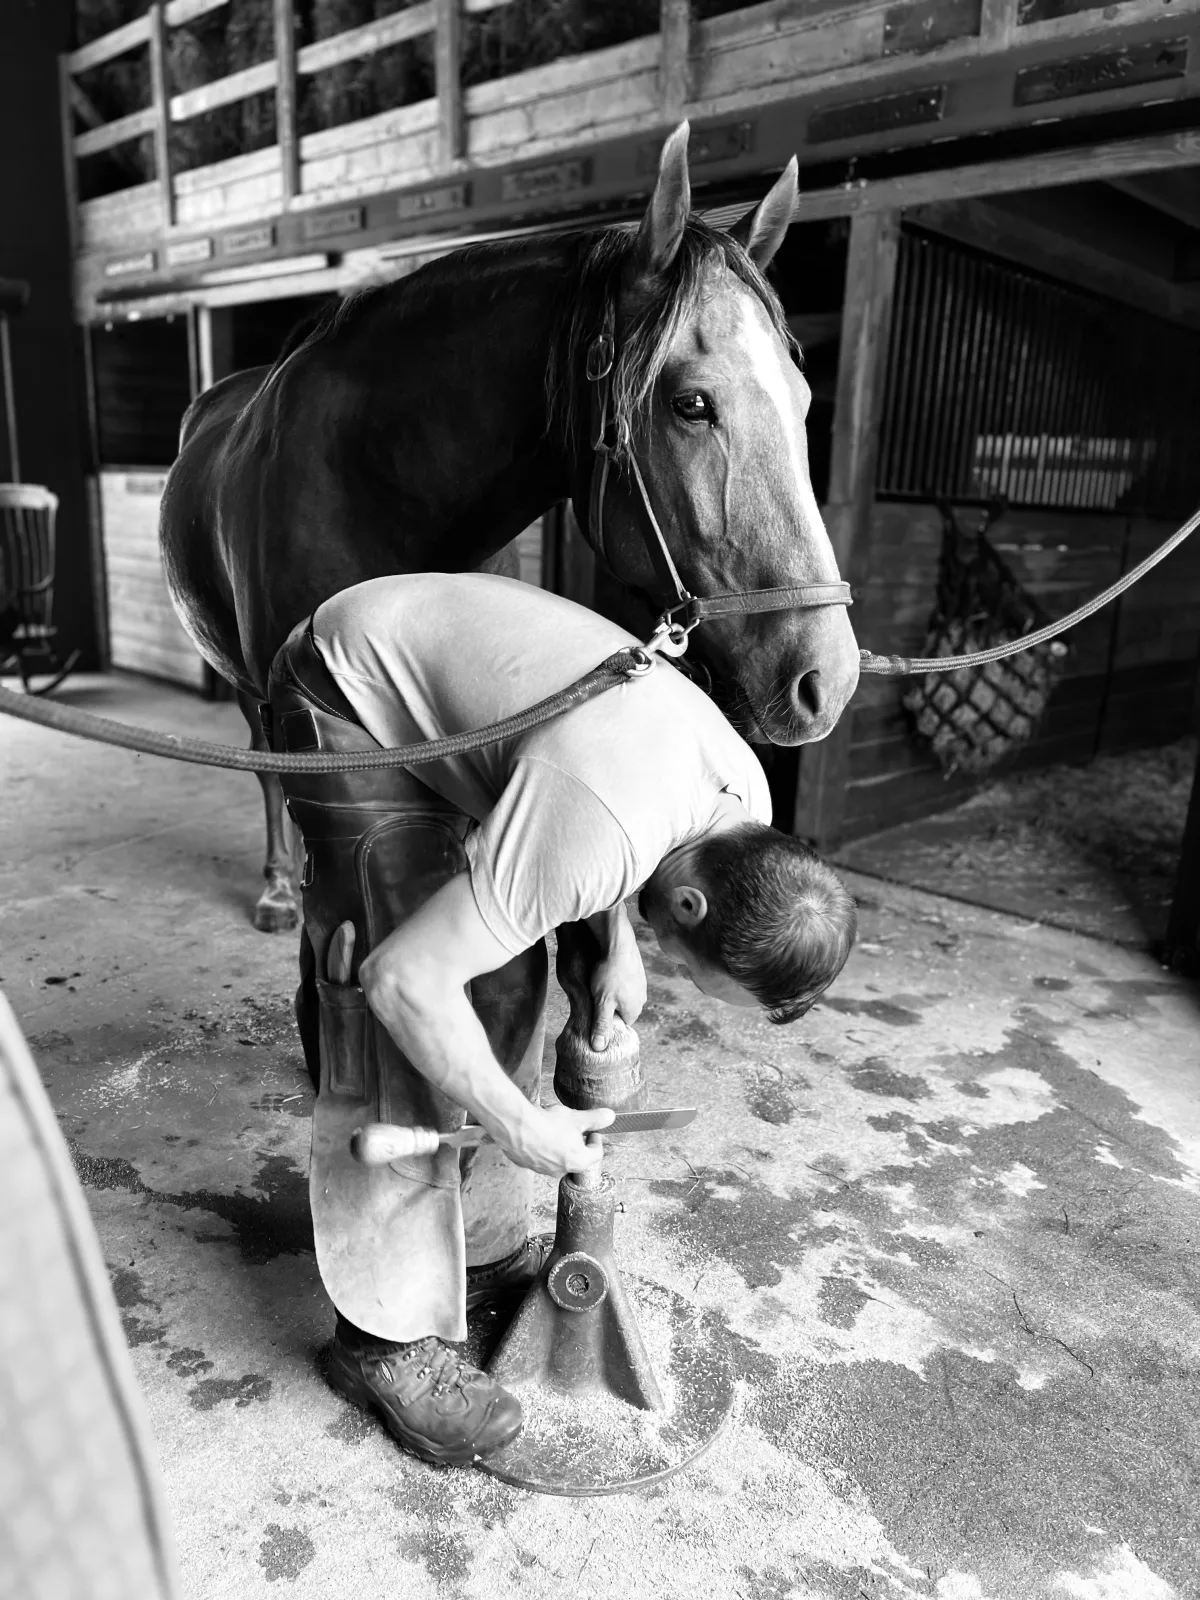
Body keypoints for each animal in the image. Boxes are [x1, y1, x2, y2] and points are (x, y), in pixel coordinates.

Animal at [160, 122, 861, 935]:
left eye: (805, 397)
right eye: (690, 403)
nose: (829, 680)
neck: (370, 479)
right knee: (260, 766)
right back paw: (276, 885)